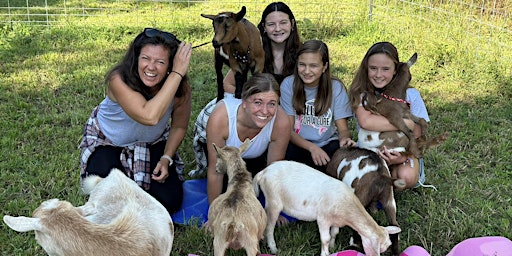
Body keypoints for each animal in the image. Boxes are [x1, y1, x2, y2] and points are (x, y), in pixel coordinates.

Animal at [254, 160, 402, 256]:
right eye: (381, 249)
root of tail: (263, 172)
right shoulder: (323, 219)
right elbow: (324, 238)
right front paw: (325, 252)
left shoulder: (336, 221)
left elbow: (334, 233)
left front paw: (333, 246)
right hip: (273, 202)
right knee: (269, 227)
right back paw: (273, 249)